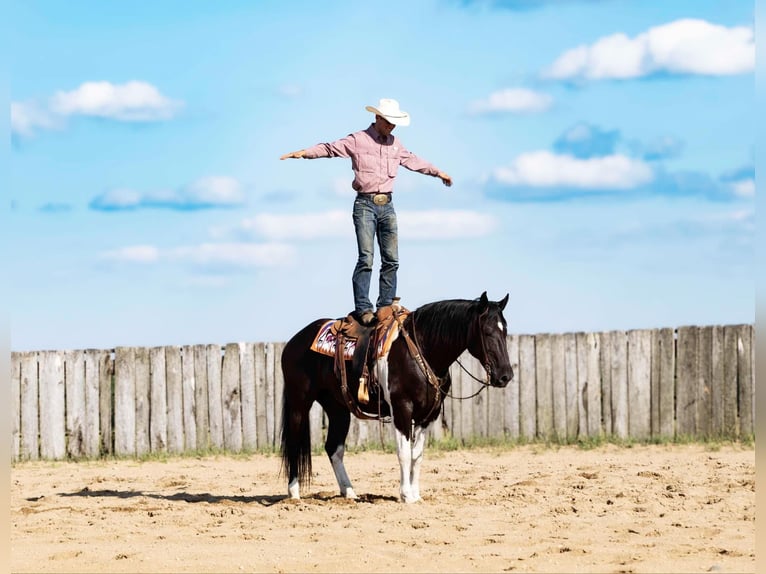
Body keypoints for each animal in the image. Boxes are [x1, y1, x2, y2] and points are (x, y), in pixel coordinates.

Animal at [280, 292, 512, 504]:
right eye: (487, 331)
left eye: (505, 330)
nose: (505, 375)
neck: (422, 350)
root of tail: (294, 342)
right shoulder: (402, 409)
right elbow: (404, 453)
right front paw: (406, 495)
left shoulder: (428, 415)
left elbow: (417, 455)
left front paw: (416, 494)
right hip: (299, 403)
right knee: (294, 443)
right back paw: (294, 493)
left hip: (338, 409)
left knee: (333, 449)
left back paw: (349, 492)